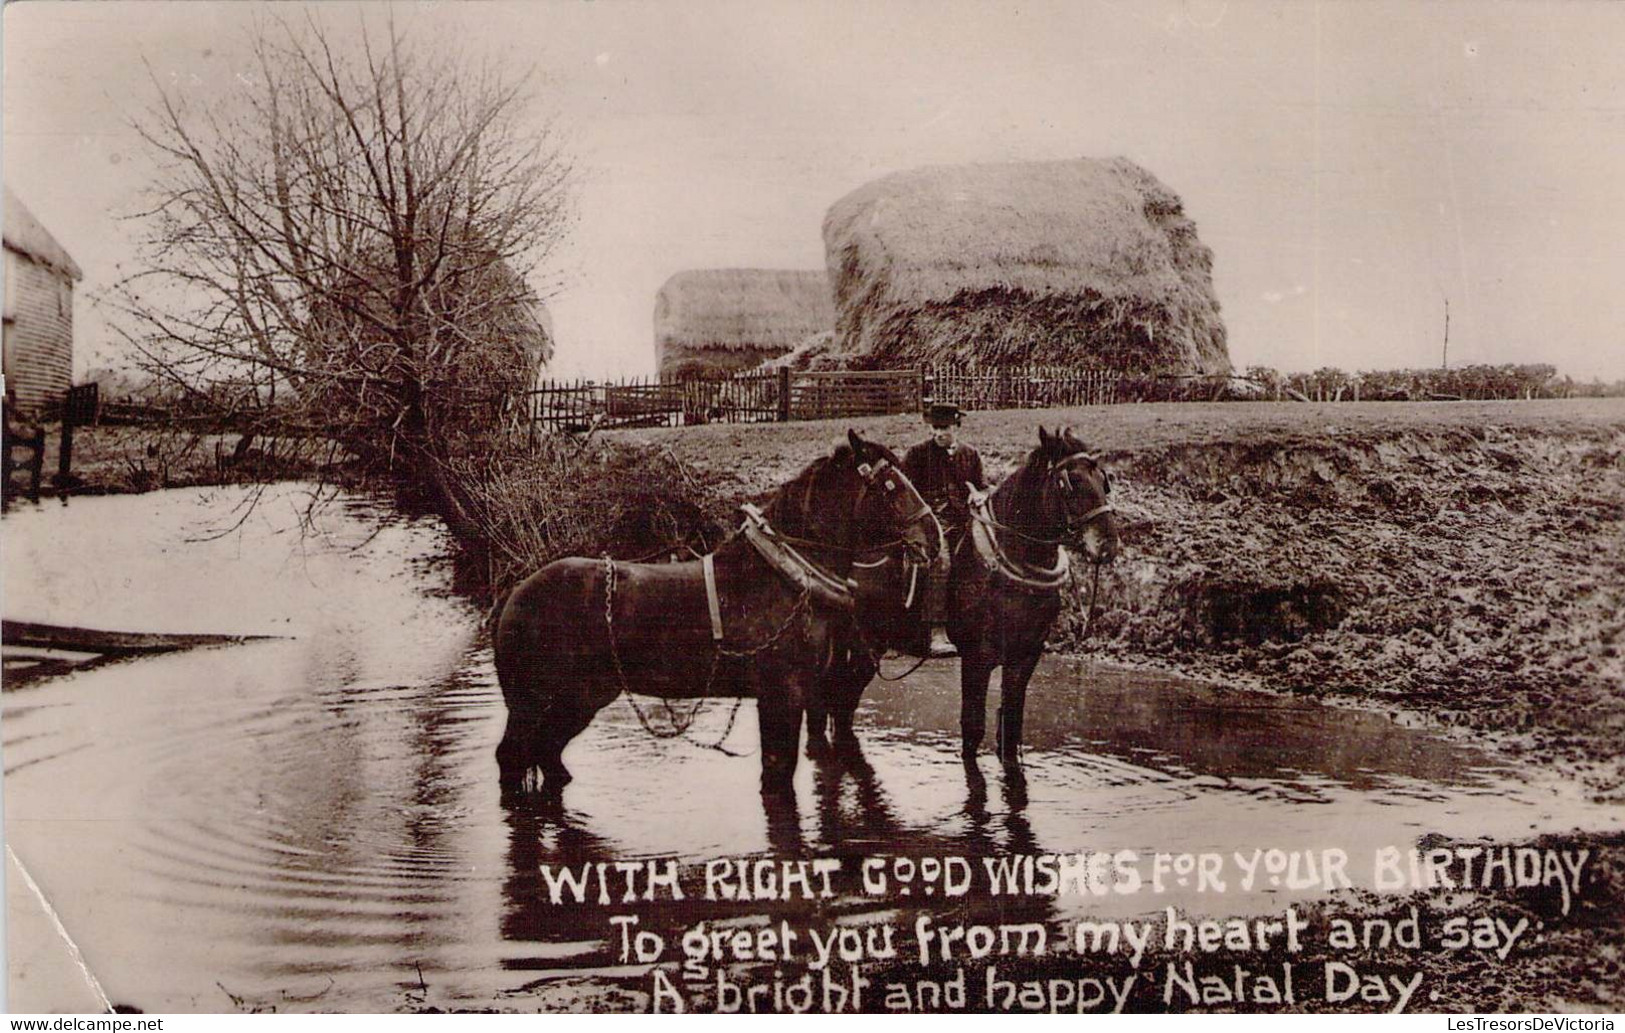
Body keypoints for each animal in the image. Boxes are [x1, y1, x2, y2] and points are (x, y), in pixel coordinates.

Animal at [487, 432, 936, 802]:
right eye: (892, 485)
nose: (932, 533)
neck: (785, 574)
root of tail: (515, 592)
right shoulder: (782, 694)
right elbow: (778, 775)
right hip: (531, 701)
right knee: (512, 756)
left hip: (582, 697)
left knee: (547, 753)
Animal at [812, 425, 1118, 766]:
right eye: (1069, 481)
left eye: (1103, 478)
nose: (1108, 545)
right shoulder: (977, 658)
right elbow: (972, 729)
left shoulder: (1025, 657)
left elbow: (1010, 730)